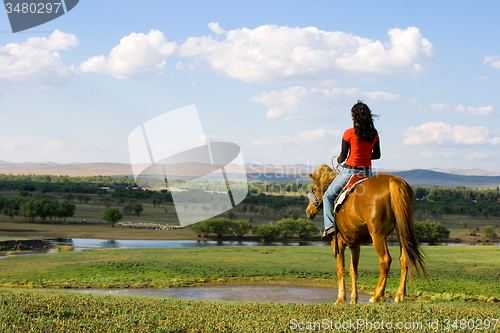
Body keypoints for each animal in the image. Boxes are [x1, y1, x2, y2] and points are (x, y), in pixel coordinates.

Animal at [306, 165, 428, 302]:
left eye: (314, 189)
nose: (308, 211)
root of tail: (392, 180)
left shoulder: (337, 243)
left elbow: (340, 269)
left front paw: (341, 298)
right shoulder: (354, 245)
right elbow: (353, 271)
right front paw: (354, 299)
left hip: (377, 234)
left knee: (385, 260)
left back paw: (376, 296)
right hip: (402, 230)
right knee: (405, 258)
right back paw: (399, 295)